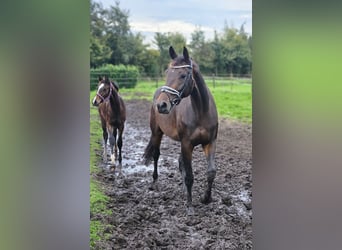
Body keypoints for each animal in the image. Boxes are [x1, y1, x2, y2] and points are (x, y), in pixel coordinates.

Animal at [143, 46, 218, 214]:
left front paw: (206, 198)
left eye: (183, 75)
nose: (161, 105)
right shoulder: (186, 143)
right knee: (156, 155)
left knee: (180, 162)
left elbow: (211, 172)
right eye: (167, 73)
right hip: (157, 133)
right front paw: (189, 206)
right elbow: (190, 175)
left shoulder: (209, 142)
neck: (201, 110)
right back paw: (155, 182)